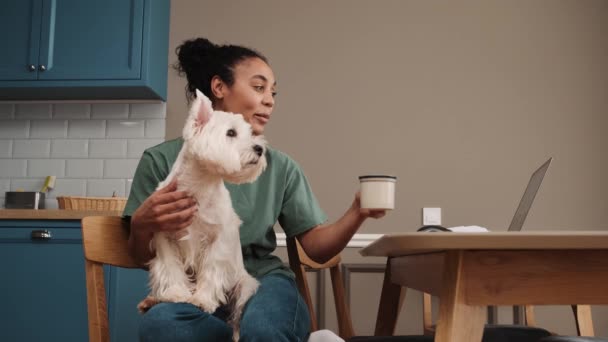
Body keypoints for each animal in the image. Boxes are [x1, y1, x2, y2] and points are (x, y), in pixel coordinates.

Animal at [142, 88, 268, 340]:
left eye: (250, 132)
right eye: (231, 132)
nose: (259, 149)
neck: (200, 185)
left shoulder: (217, 238)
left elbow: (211, 269)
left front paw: (201, 299)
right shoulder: (164, 234)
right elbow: (170, 266)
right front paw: (177, 293)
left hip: (244, 286)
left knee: (237, 316)